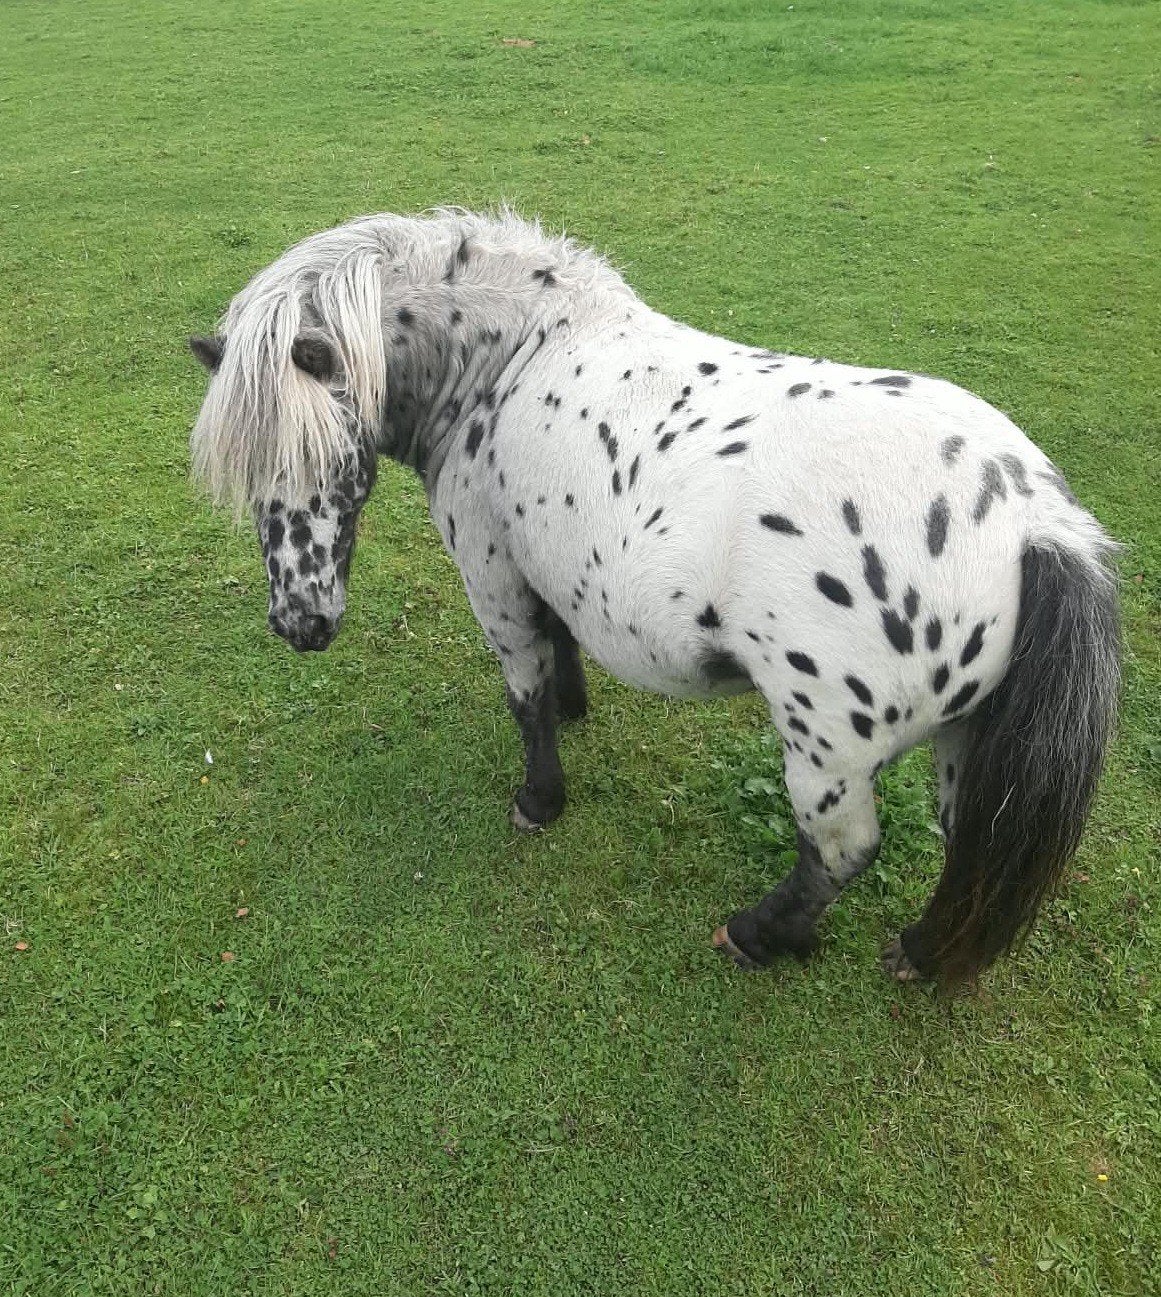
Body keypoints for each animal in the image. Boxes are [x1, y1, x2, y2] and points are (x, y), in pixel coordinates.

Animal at [189, 209, 1121, 984]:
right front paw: (575, 711)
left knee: (840, 852)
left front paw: (539, 800)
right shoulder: (542, 565)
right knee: (963, 841)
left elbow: (524, 691)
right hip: (960, 736)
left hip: (826, 752)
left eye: (320, 455)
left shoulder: (491, 575)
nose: (299, 623)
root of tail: (1035, 524)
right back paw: (920, 953)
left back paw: (758, 935)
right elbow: (559, 647)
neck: (505, 358)